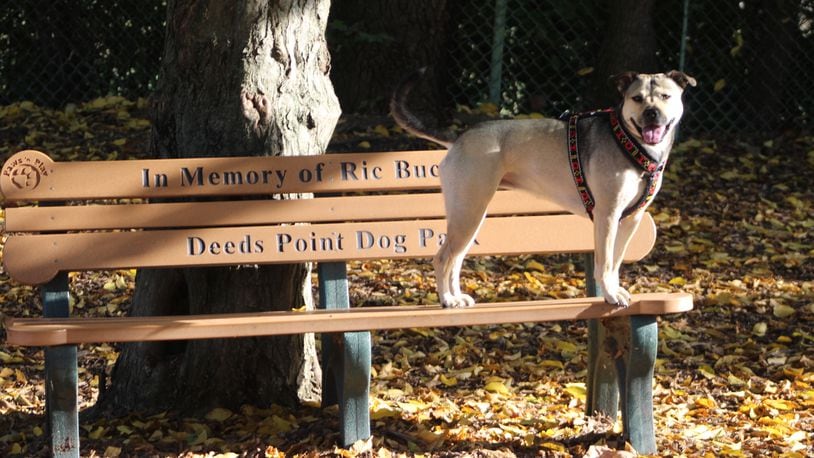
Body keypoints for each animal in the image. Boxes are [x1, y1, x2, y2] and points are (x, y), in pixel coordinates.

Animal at [392, 68, 700, 308]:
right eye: (636, 98)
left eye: (666, 96)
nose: (651, 113)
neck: (630, 142)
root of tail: (459, 137)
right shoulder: (607, 216)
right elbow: (604, 263)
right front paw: (611, 295)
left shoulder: (631, 220)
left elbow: (615, 262)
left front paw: (614, 290)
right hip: (468, 213)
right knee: (443, 258)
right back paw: (447, 300)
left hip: (470, 217)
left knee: (455, 260)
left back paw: (457, 298)